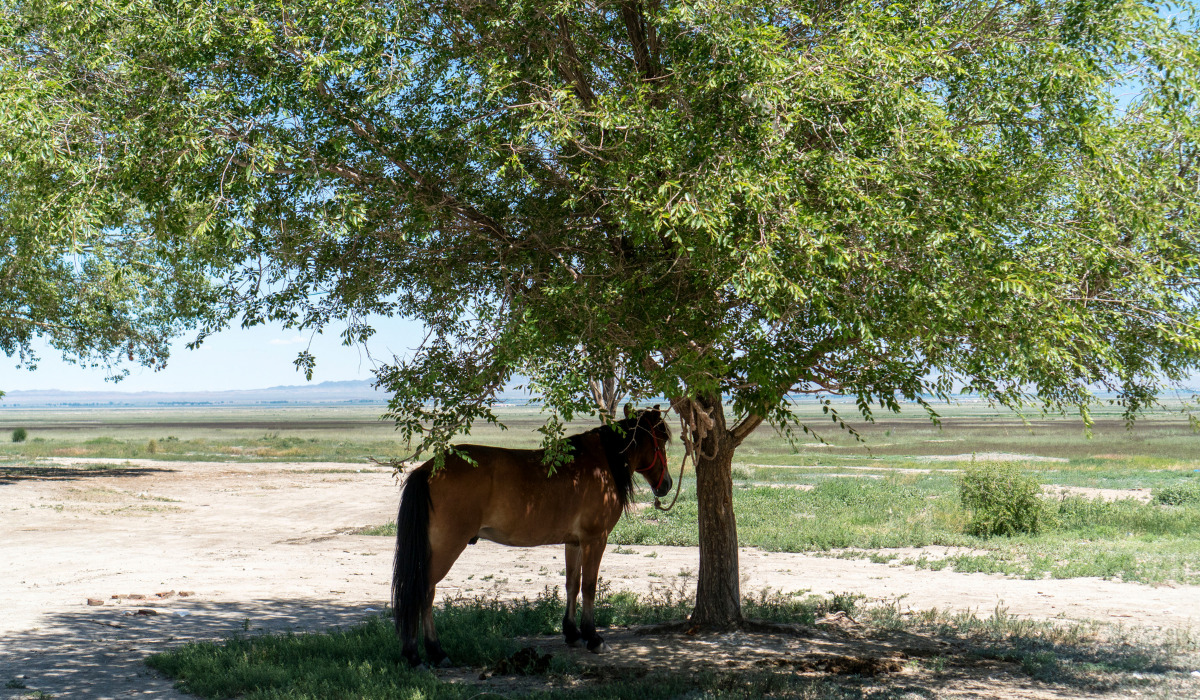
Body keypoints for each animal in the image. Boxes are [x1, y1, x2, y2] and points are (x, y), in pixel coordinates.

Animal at [391, 407, 674, 667]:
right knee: (424, 592)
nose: (667, 484)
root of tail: (428, 469)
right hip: (446, 548)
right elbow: (589, 587)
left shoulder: (574, 543)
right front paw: (594, 638)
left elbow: (573, 584)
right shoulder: (595, 540)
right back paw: (427, 654)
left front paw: (573, 634)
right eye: (661, 441)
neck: (601, 465)